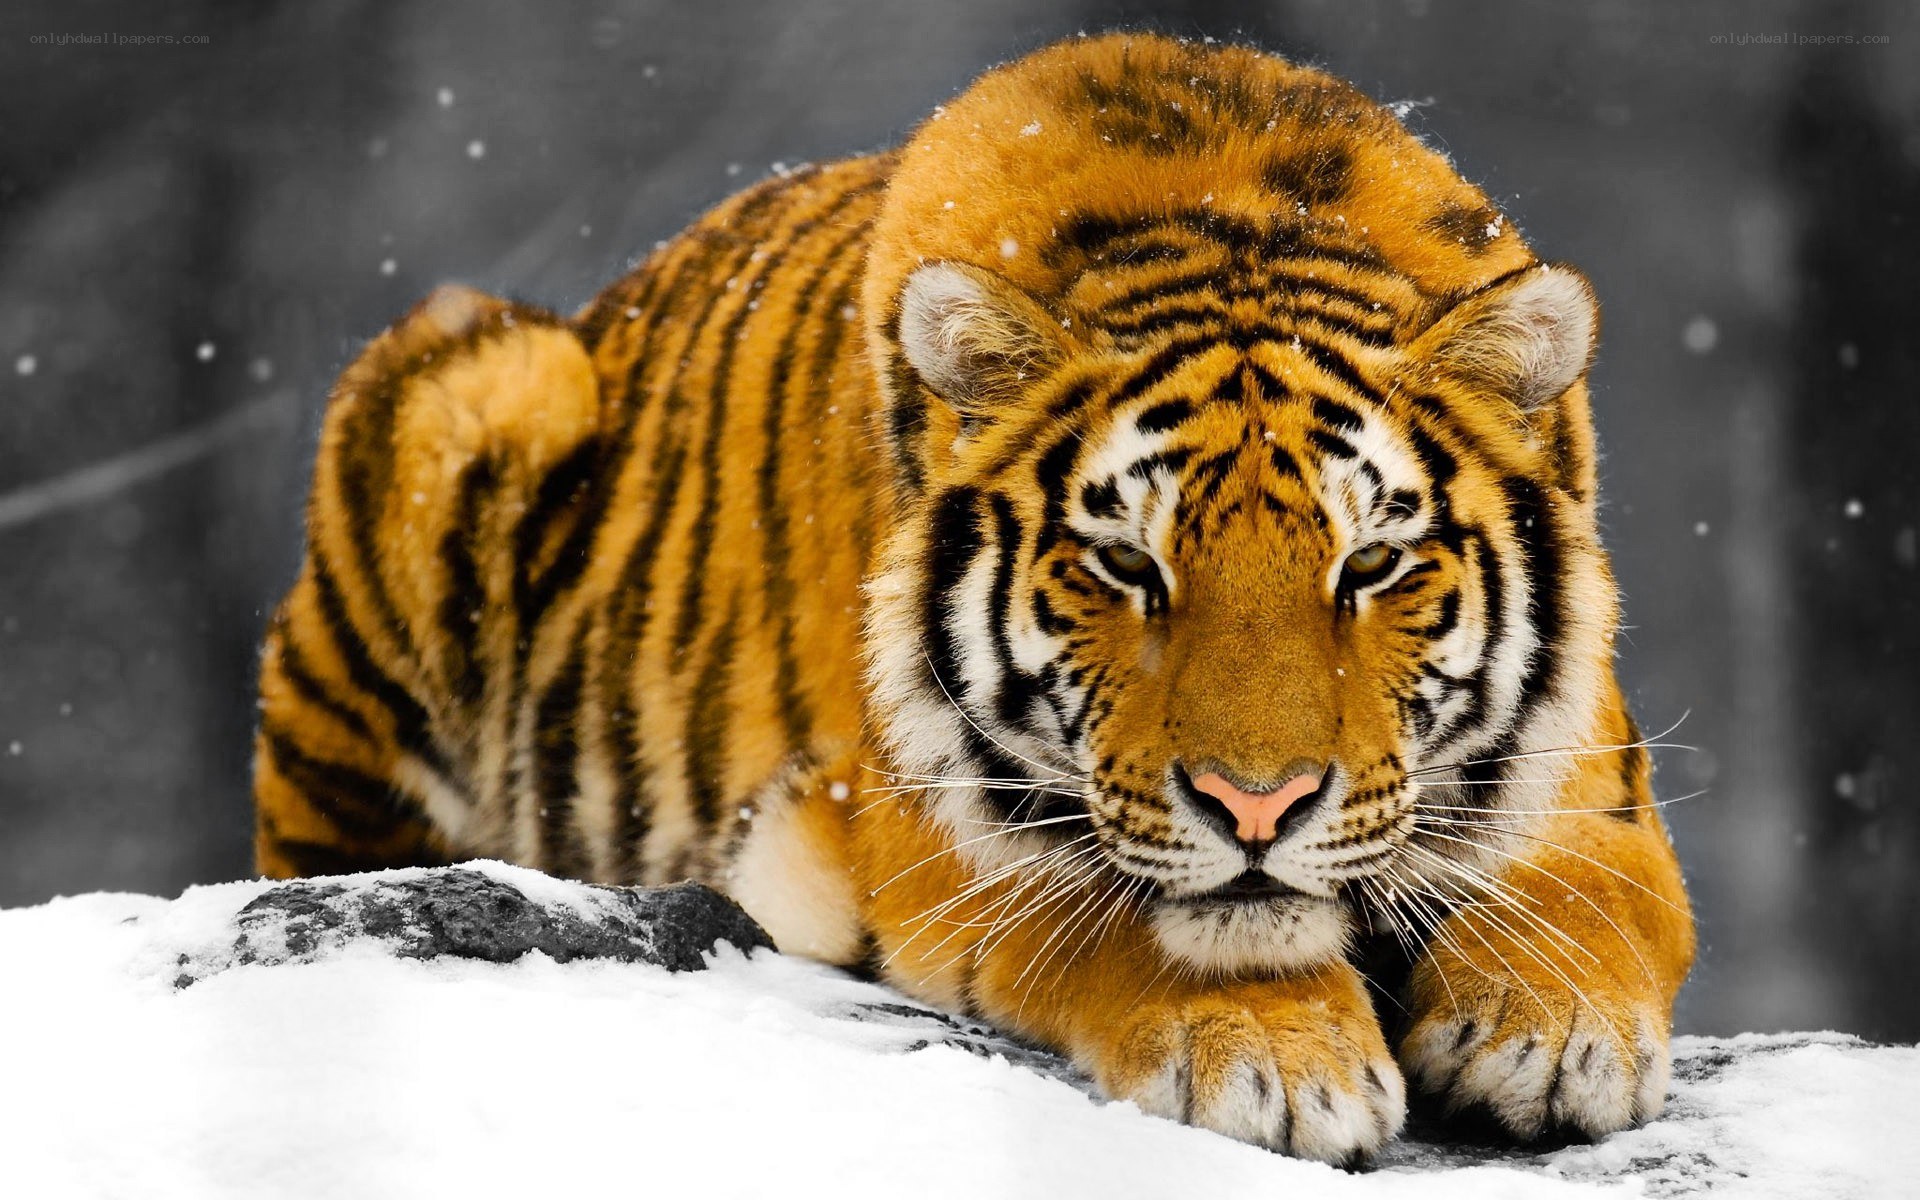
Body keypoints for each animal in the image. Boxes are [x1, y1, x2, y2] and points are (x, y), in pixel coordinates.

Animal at [253, 33, 1695, 1162]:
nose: (1258, 807)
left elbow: (1589, 893)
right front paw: (1277, 1058)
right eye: (1127, 565)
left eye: (1371, 565)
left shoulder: (1593, 773)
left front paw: (1553, 1035)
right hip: (470, 393)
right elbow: (1126, 914)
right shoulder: (920, 818)